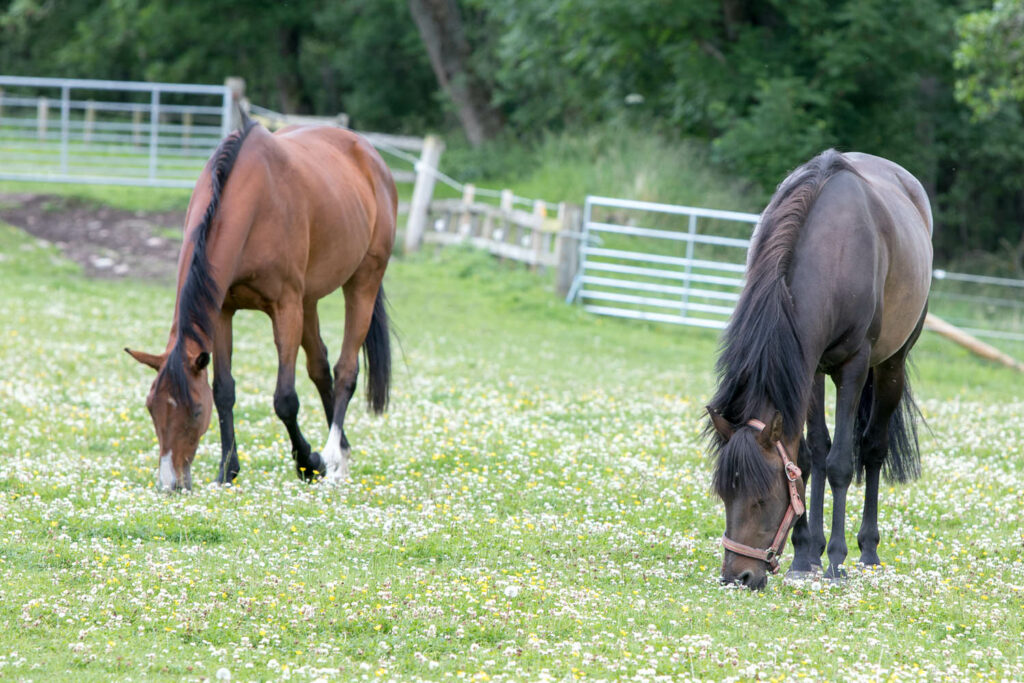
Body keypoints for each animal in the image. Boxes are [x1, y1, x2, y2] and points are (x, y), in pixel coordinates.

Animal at [124, 117, 395, 491]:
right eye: (151, 408)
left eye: (195, 411)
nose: (171, 483)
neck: (251, 200)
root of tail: (369, 154)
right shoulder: (223, 311)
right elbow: (224, 391)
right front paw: (227, 470)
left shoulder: (286, 308)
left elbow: (285, 400)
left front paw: (309, 463)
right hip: (310, 301)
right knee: (321, 369)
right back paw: (342, 449)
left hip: (362, 282)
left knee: (345, 371)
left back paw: (334, 459)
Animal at [708, 149, 933, 589]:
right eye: (726, 495)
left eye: (761, 498)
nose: (737, 577)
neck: (833, 252)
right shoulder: (807, 368)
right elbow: (811, 456)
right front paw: (803, 554)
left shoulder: (853, 365)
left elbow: (842, 463)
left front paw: (836, 559)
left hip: (890, 365)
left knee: (873, 448)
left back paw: (867, 551)